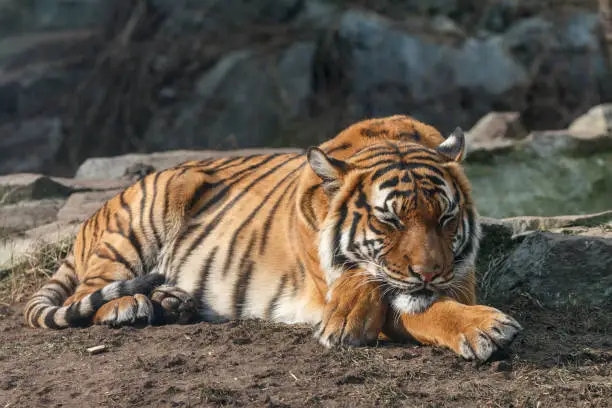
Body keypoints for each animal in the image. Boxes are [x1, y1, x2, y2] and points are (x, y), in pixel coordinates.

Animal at [23, 114, 520, 360]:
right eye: (389, 221)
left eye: (446, 218)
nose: (430, 274)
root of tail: (93, 217)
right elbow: (398, 300)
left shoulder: (457, 281)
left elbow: (430, 305)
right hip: (146, 213)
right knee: (88, 293)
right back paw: (129, 306)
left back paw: (172, 302)